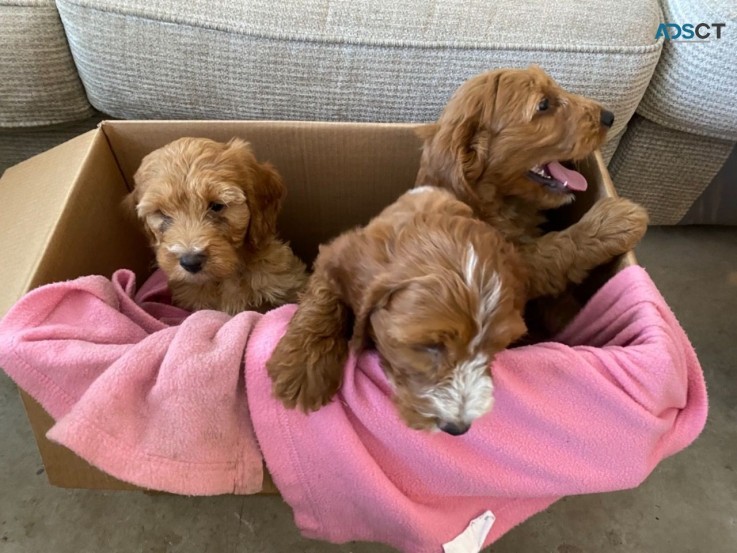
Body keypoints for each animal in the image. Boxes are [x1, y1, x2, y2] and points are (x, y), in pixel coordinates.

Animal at [268, 188, 528, 434]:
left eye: (495, 347)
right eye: (429, 346)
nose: (458, 428)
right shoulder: (333, 258)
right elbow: (323, 298)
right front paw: (302, 369)